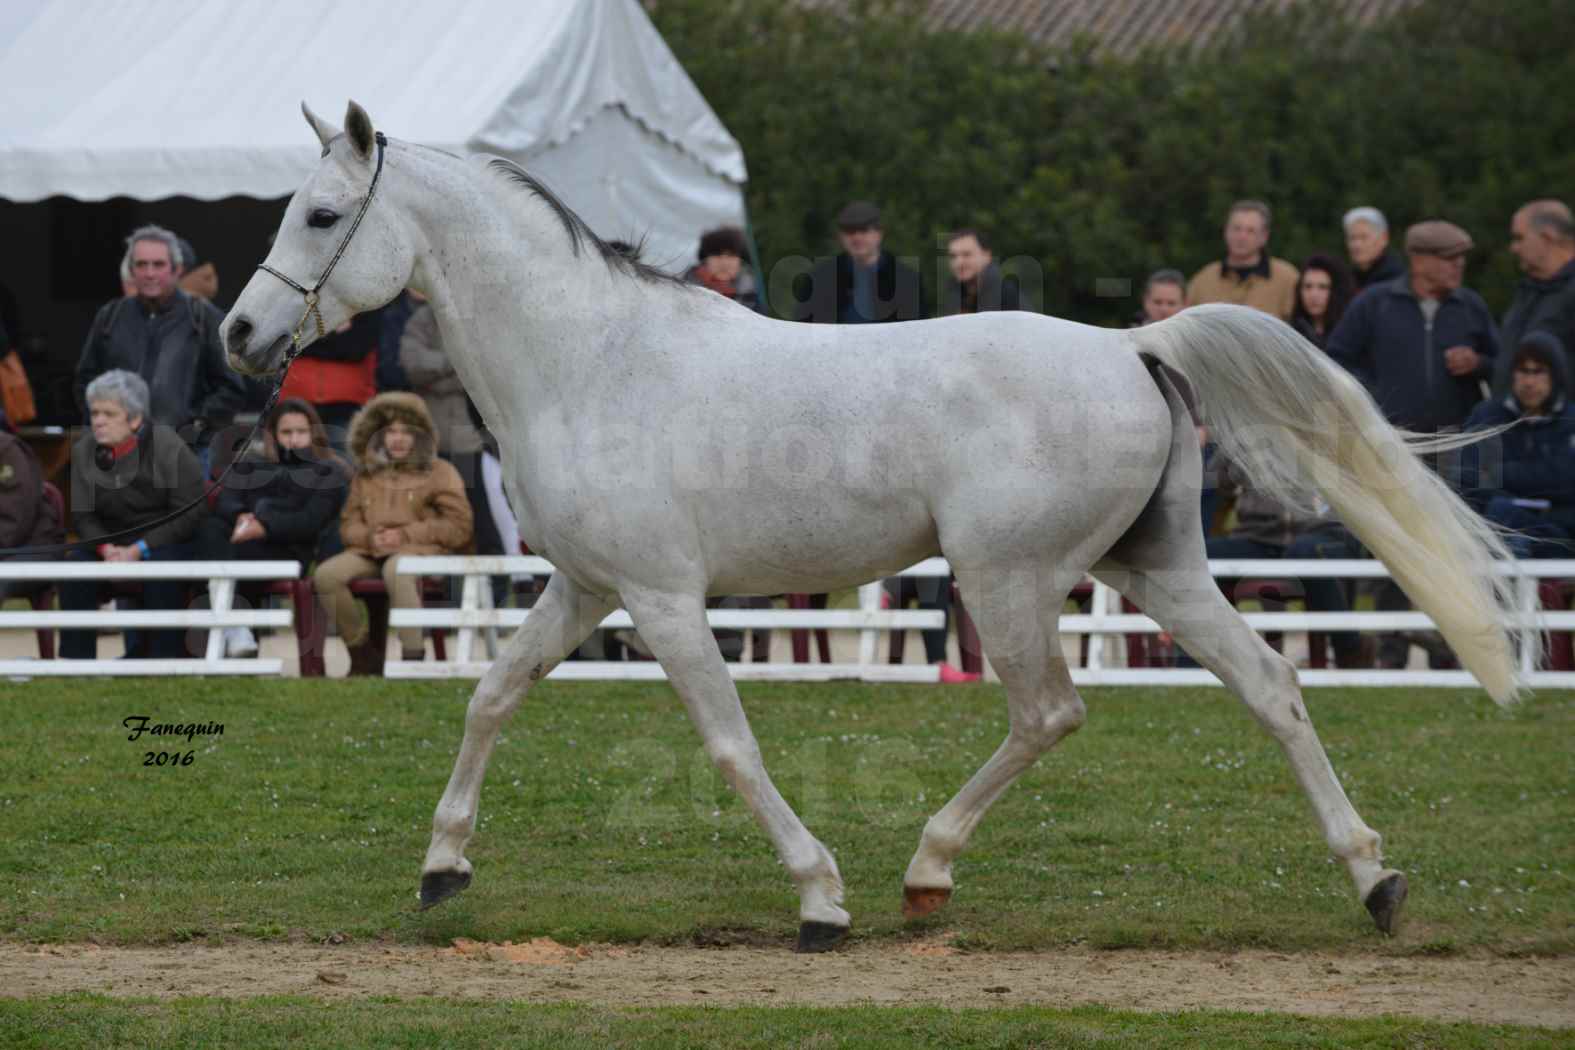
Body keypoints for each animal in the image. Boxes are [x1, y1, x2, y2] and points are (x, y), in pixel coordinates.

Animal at [222, 104, 1524, 950]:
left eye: (322, 214)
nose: (239, 336)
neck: (589, 359)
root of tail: (1132, 345)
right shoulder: (583, 588)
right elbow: (490, 696)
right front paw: (442, 868)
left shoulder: (661, 600)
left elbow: (731, 744)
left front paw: (819, 897)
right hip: (1153, 570)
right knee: (1272, 687)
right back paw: (1375, 880)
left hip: (1008, 580)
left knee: (1050, 711)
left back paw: (923, 872)